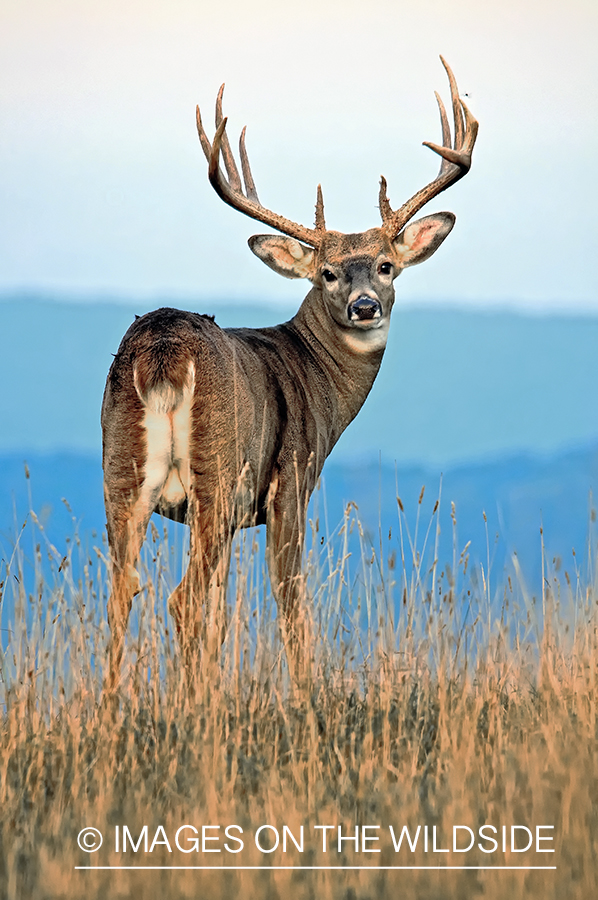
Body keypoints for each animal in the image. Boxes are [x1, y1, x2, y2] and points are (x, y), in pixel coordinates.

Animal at [103, 56, 478, 684]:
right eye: (327, 273)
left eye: (386, 265)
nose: (365, 306)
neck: (313, 373)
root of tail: (164, 347)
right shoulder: (290, 481)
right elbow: (290, 597)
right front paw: (308, 689)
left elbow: (221, 613)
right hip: (217, 471)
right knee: (181, 597)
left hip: (121, 475)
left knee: (124, 591)